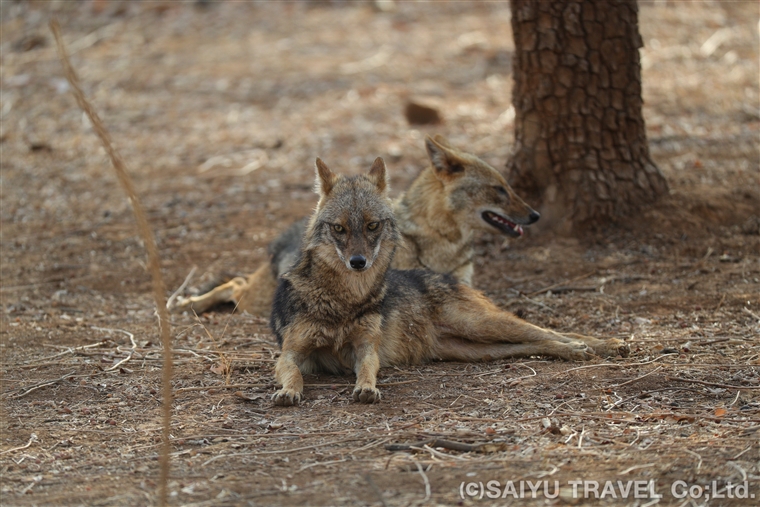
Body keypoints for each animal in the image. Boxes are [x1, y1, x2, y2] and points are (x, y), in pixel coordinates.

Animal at [169, 135, 540, 316]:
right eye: (499, 190)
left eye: (508, 187)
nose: (535, 215)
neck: (442, 243)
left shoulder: (462, 281)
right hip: (253, 301)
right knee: (234, 285)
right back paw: (187, 305)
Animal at [270, 158, 629, 406]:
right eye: (339, 228)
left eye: (372, 226)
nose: (358, 262)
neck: (343, 299)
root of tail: (444, 274)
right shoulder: (293, 353)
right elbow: (293, 374)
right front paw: (288, 392)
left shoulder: (365, 348)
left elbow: (368, 370)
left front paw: (367, 388)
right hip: (478, 349)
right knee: (538, 343)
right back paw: (581, 350)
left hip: (483, 325)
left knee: (554, 331)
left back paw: (600, 345)